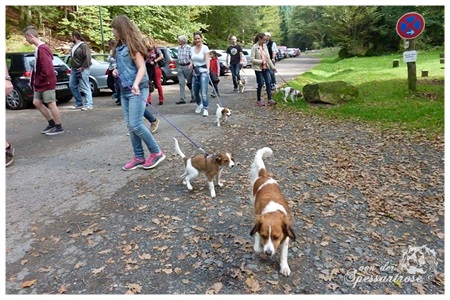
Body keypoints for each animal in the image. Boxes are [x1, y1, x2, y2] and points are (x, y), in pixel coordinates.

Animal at [250, 147, 296, 276]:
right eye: (264, 235)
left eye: (276, 237)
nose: (268, 253)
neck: (273, 211)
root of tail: (264, 176)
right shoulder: (257, 229)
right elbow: (257, 247)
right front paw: (261, 248)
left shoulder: (285, 237)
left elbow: (284, 254)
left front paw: (284, 267)